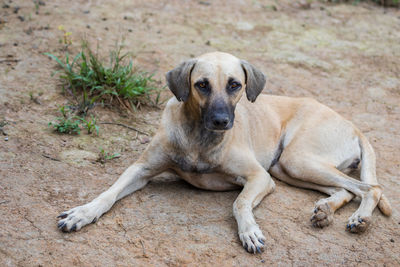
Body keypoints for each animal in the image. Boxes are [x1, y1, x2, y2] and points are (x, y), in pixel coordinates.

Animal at [57, 51, 392, 254]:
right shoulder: (140, 170)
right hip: (290, 167)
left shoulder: (259, 178)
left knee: (370, 188)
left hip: (294, 161)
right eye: (201, 85)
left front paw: (249, 232)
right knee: (346, 190)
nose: (221, 121)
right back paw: (325, 211)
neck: (199, 138)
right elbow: (108, 193)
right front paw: (82, 213)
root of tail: (352, 124)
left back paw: (360, 219)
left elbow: (239, 203)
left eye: (235, 85)